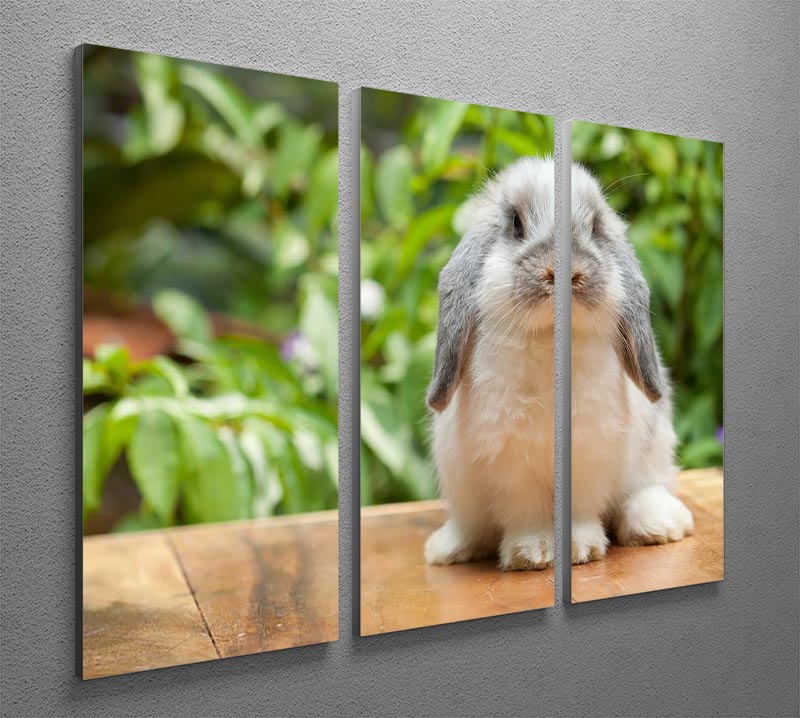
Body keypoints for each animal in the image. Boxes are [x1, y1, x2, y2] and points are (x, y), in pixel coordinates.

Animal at [424, 157, 694, 571]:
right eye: (516, 224)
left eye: (595, 227)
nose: (565, 274)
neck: (550, 341)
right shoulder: (510, 463)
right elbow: (527, 512)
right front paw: (531, 554)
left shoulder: (589, 454)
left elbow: (580, 509)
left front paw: (580, 550)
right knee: (472, 526)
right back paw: (448, 548)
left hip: (654, 451)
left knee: (645, 490)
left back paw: (660, 525)